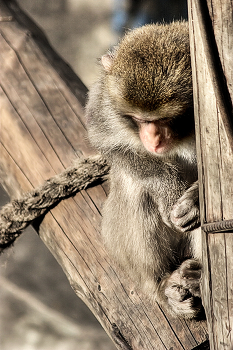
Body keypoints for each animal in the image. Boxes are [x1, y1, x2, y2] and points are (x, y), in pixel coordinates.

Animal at [85, 20, 202, 318]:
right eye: (140, 119)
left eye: (167, 119)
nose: (153, 139)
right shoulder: (105, 105)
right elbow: (107, 141)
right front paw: (168, 189)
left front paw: (194, 202)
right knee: (133, 184)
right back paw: (162, 284)